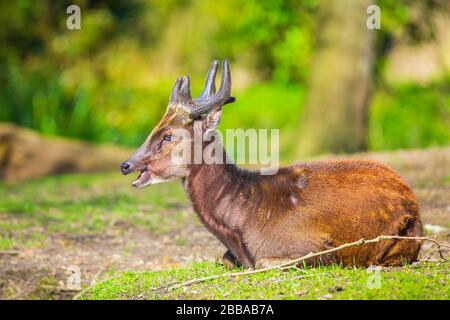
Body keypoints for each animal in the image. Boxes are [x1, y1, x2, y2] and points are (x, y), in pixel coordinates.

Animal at [120, 59, 422, 268]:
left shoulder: (315, 247)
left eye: (168, 135)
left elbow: (262, 262)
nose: (126, 164)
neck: (242, 223)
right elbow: (223, 258)